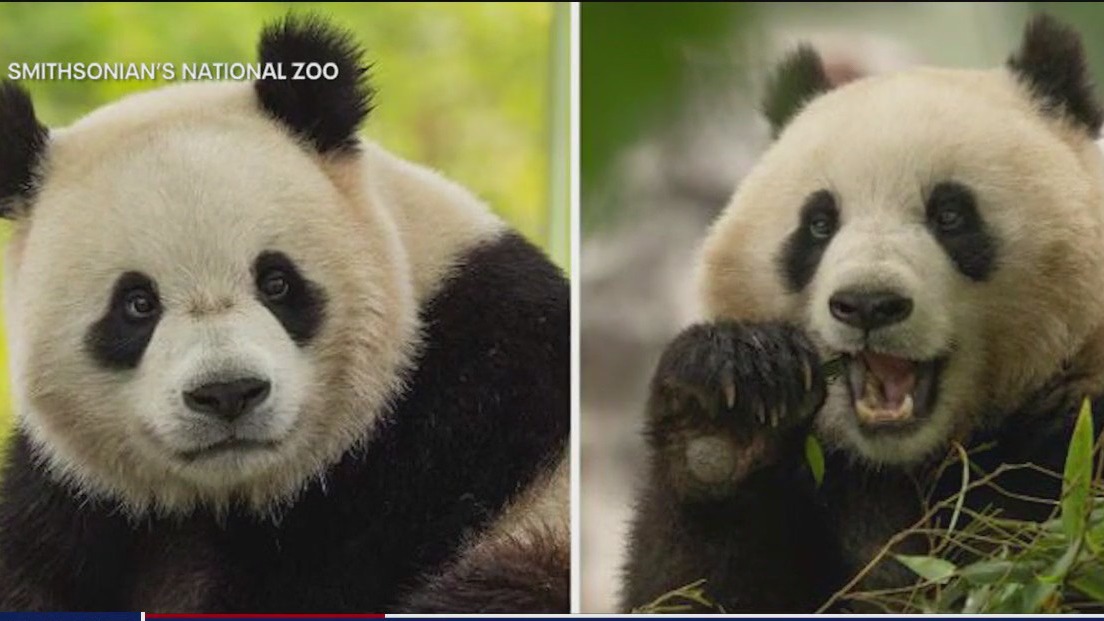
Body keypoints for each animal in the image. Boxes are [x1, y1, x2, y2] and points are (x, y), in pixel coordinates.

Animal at [0, 16, 569, 613]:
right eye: (137, 304)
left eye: (276, 282)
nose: (227, 392)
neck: (234, 496)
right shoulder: (79, 499)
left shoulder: (463, 415)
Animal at [623, 15, 1104, 613]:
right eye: (819, 223)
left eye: (950, 214)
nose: (868, 304)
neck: (906, 463)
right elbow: (689, 586)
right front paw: (726, 412)